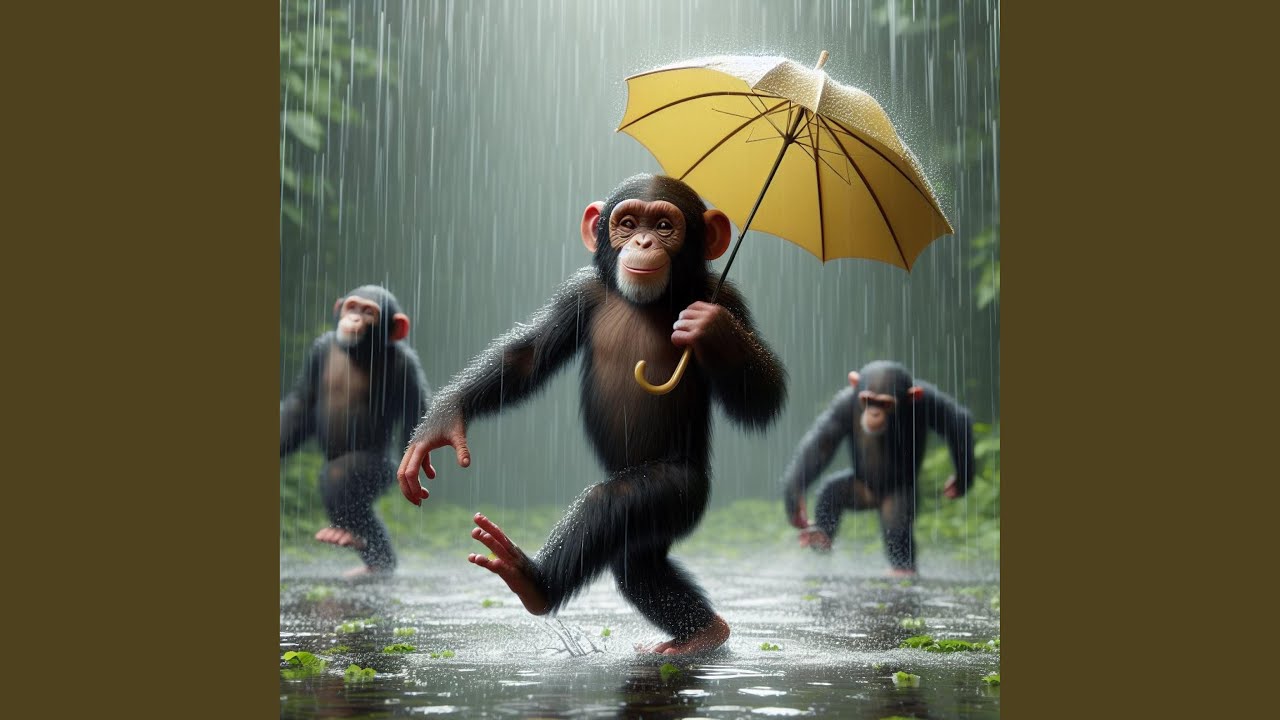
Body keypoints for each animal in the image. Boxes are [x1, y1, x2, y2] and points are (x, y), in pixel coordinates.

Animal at [280, 284, 429, 577]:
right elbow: (301, 404)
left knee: (339, 478)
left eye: (369, 312)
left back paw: (367, 552)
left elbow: (416, 412)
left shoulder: (405, 365)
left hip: (381, 469)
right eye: (352, 306)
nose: (355, 318)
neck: (358, 352)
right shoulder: (318, 350)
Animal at [398, 174, 786, 654]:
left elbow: (764, 399)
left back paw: (534, 583)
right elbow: (527, 359)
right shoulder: (577, 296)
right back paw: (698, 631)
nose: (643, 241)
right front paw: (440, 424)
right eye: (628, 223)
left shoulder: (727, 297)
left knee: (611, 507)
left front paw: (709, 327)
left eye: (664, 225)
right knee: (637, 566)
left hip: (681, 490)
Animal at [781, 360, 975, 576]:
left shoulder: (927, 402)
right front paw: (794, 501)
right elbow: (822, 445)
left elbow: (954, 423)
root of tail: (874, 501)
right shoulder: (842, 405)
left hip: (899, 494)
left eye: (885, 404)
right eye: (868, 400)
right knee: (831, 493)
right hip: (859, 490)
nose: (874, 412)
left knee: (897, 526)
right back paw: (820, 538)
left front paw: (961, 481)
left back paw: (903, 569)